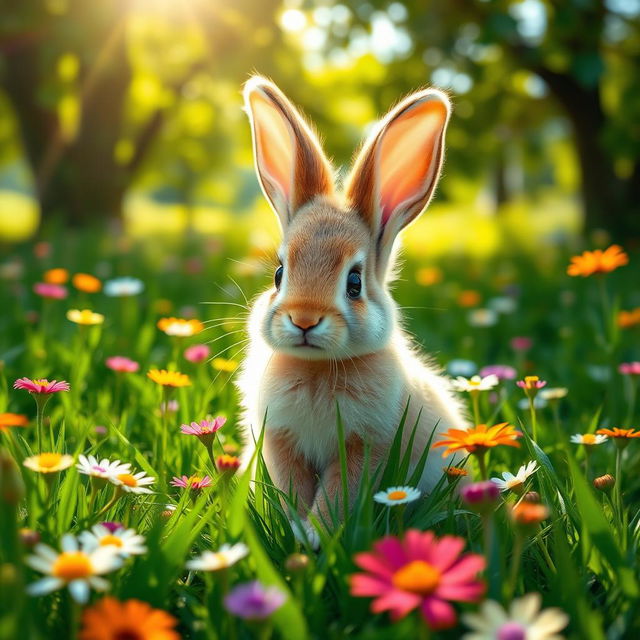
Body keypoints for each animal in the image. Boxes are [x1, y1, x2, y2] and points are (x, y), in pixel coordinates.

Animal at [238, 76, 468, 528]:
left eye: (355, 282)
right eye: (279, 273)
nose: (304, 319)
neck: (316, 367)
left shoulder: (366, 447)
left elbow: (335, 498)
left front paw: (314, 534)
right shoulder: (280, 442)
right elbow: (293, 490)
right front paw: (294, 529)